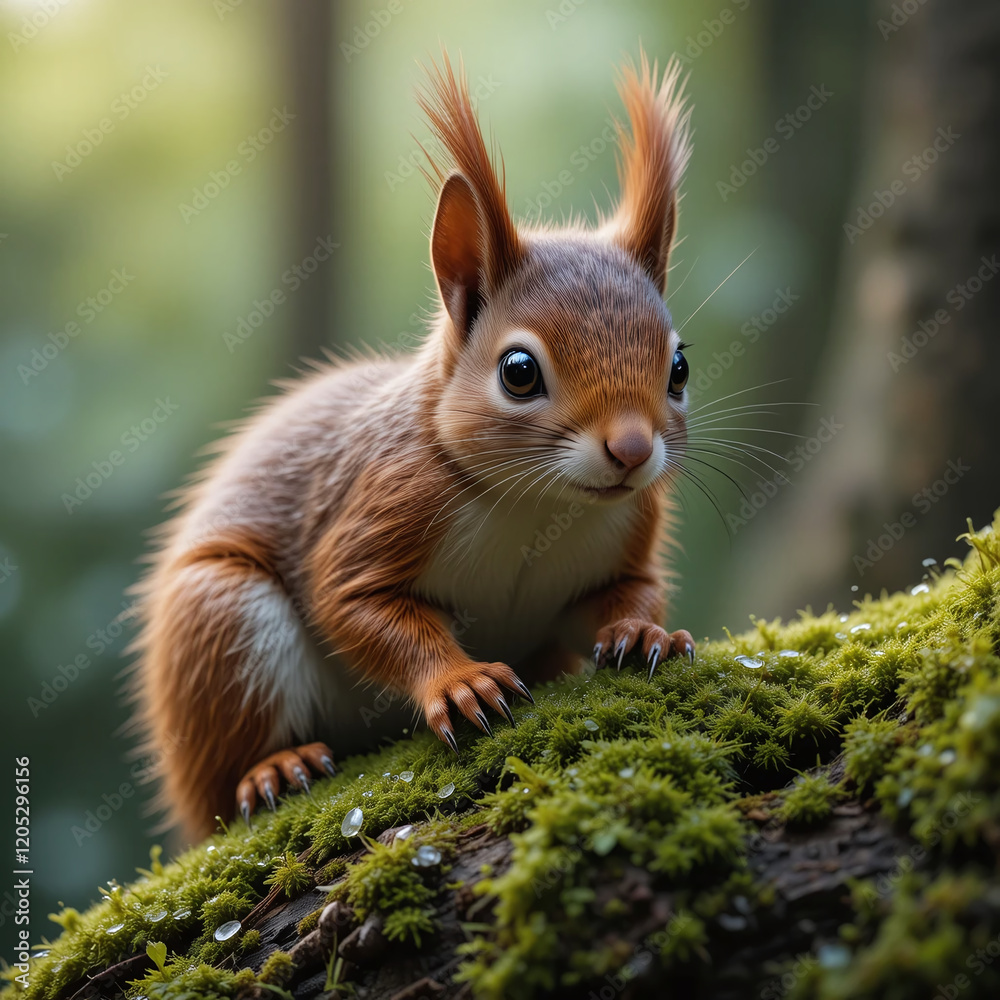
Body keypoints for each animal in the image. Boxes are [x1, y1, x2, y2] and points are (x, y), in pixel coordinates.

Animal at [130, 50, 696, 841]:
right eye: (518, 372)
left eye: (678, 368)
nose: (635, 451)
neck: (536, 506)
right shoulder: (387, 503)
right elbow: (357, 605)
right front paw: (460, 682)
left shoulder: (627, 532)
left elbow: (628, 591)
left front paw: (645, 633)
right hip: (219, 621)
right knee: (222, 780)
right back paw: (272, 767)